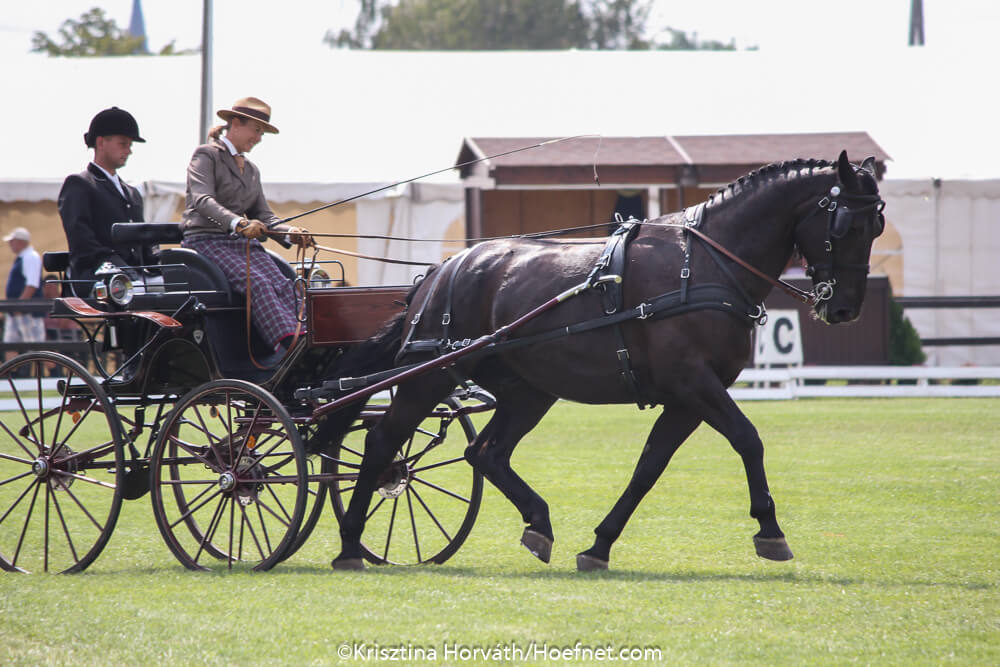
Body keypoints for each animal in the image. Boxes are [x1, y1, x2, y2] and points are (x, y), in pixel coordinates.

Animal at [318, 150, 886, 571]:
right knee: (382, 441)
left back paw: (538, 522)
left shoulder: (687, 398)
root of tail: (437, 273)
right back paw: (349, 544)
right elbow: (749, 439)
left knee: (486, 453)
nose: (844, 308)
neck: (706, 264)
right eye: (846, 224)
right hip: (431, 377)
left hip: (529, 390)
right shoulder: (695, 384)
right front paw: (770, 529)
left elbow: (648, 467)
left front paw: (599, 545)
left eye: (877, 225)